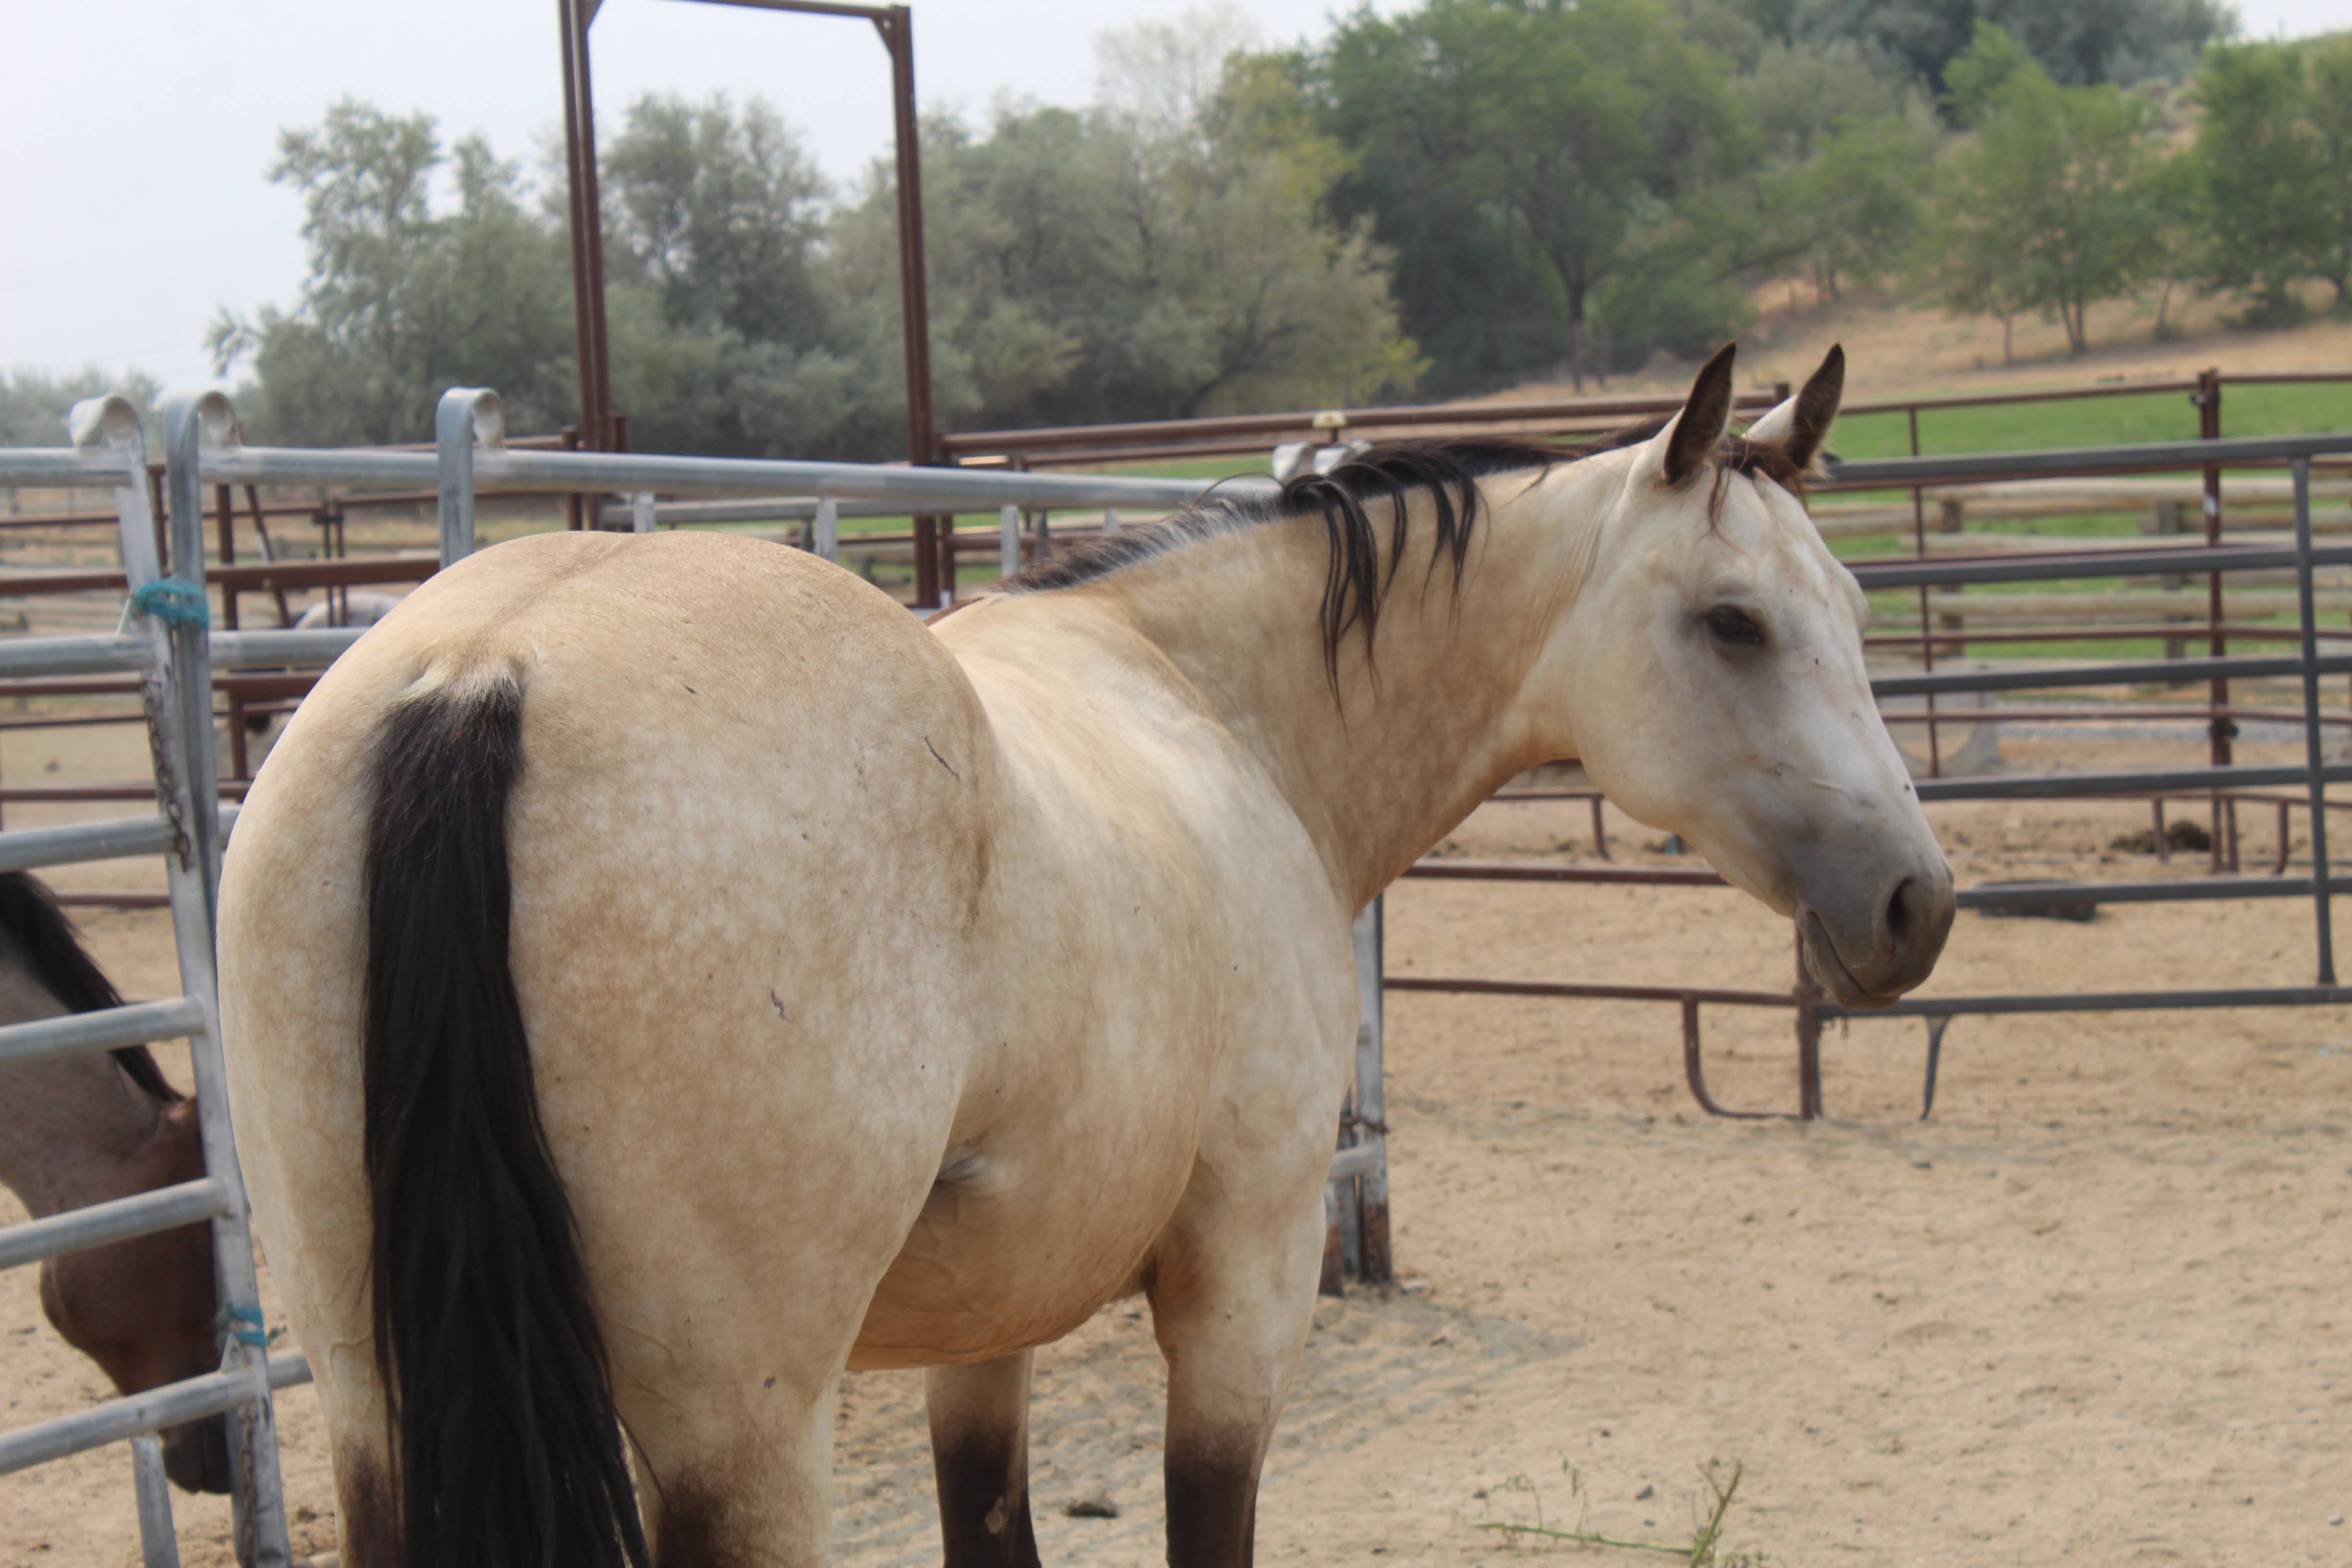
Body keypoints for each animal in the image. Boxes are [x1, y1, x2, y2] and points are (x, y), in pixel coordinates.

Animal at [216, 344, 1952, 1568]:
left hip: (378, 1404)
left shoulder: (980, 1340)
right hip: (739, 1433)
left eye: (1854, 608)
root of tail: (483, 674)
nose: (1915, 903)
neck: (1207, 703)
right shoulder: (1244, 1286)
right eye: (1731, 620)